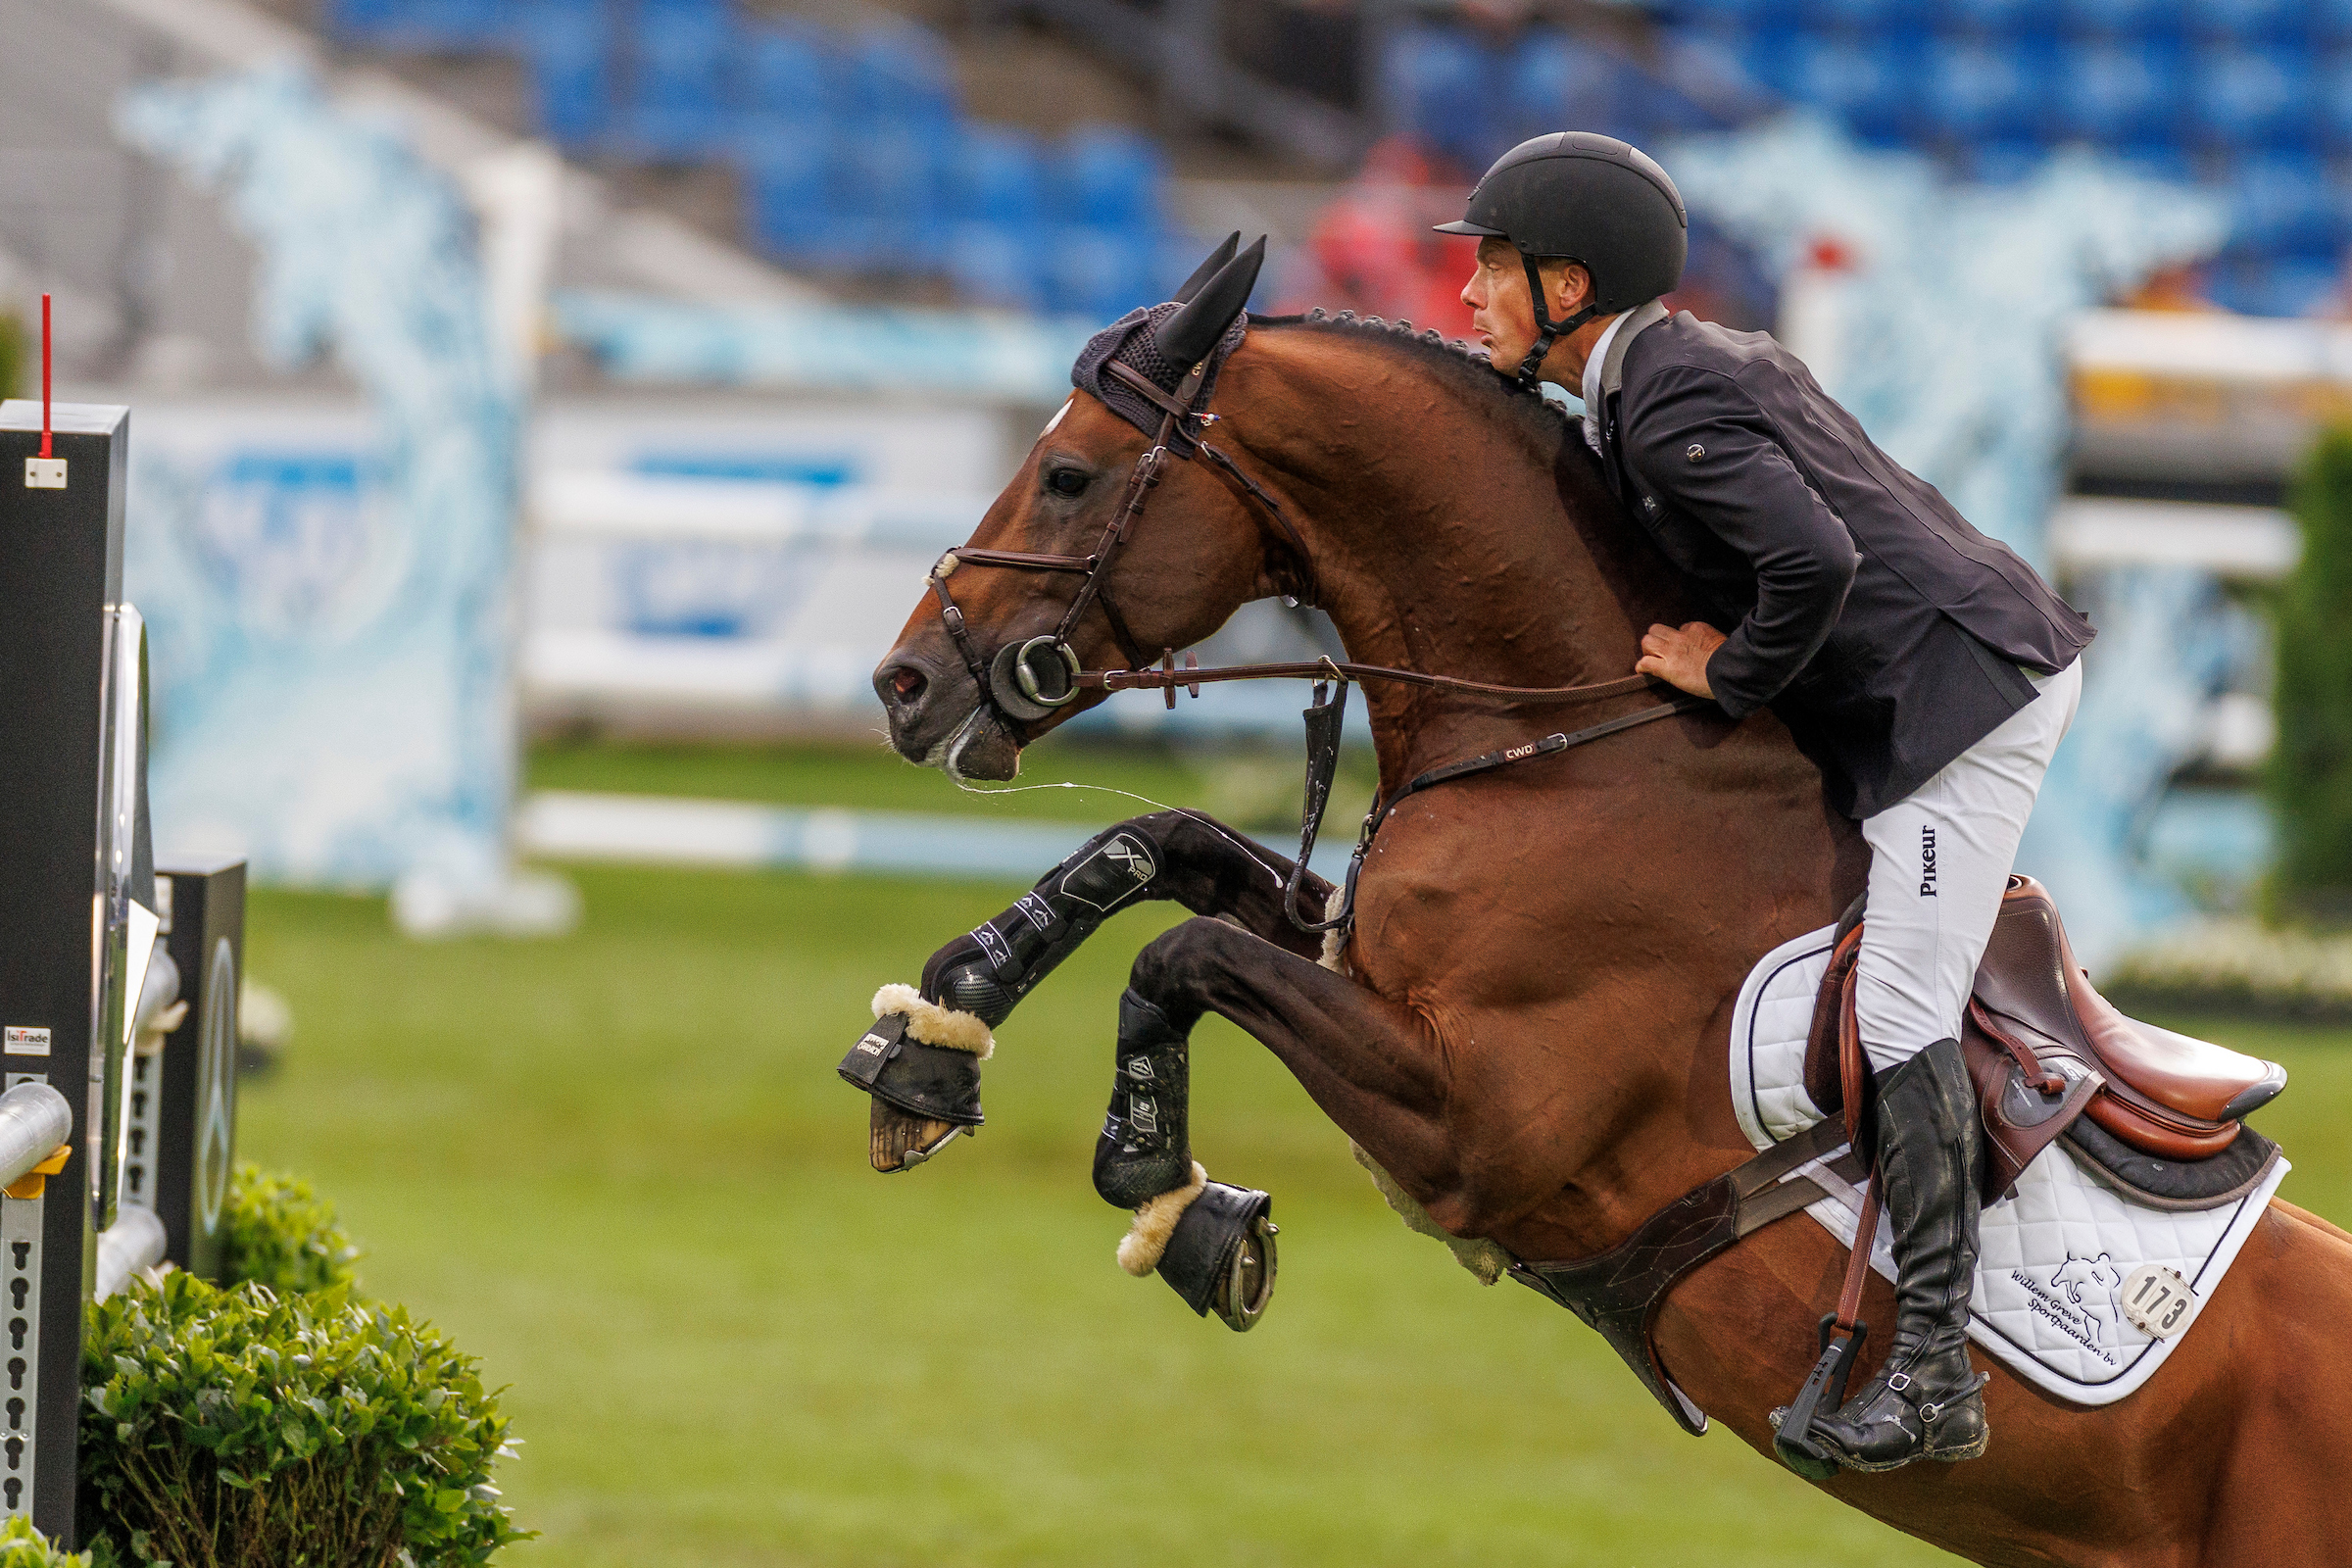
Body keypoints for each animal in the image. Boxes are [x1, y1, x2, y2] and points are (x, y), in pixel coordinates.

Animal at [858, 270, 2352, 1565]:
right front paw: (934, 1041)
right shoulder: (1368, 970)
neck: (1576, 744)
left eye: (1069, 474)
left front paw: (1169, 1191)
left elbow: (1185, 953)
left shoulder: (1479, 1125)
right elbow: (1157, 850)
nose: (904, 684)